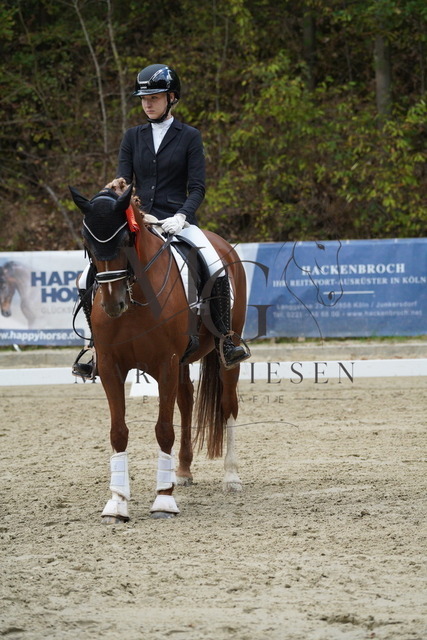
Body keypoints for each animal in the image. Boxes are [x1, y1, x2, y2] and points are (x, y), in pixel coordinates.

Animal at [69, 180, 248, 523]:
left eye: (126, 239)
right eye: (87, 241)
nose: (113, 305)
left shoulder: (166, 363)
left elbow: (164, 430)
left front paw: (164, 501)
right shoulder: (111, 367)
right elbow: (118, 432)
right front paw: (117, 503)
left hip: (225, 354)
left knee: (228, 404)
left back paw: (232, 477)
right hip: (182, 361)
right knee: (187, 400)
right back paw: (183, 471)